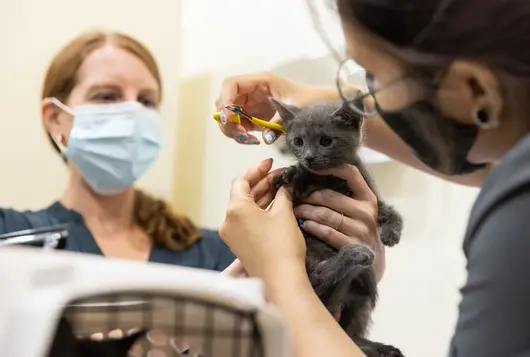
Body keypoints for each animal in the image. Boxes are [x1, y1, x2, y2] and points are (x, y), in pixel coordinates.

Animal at [270, 98, 402, 356]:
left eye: (325, 141)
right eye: (298, 141)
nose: (309, 157)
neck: (331, 178)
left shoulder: (368, 193)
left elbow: (386, 209)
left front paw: (392, 232)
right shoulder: (301, 195)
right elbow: (299, 179)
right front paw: (290, 172)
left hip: (361, 299)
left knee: (350, 332)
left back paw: (381, 348)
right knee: (315, 280)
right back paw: (355, 254)